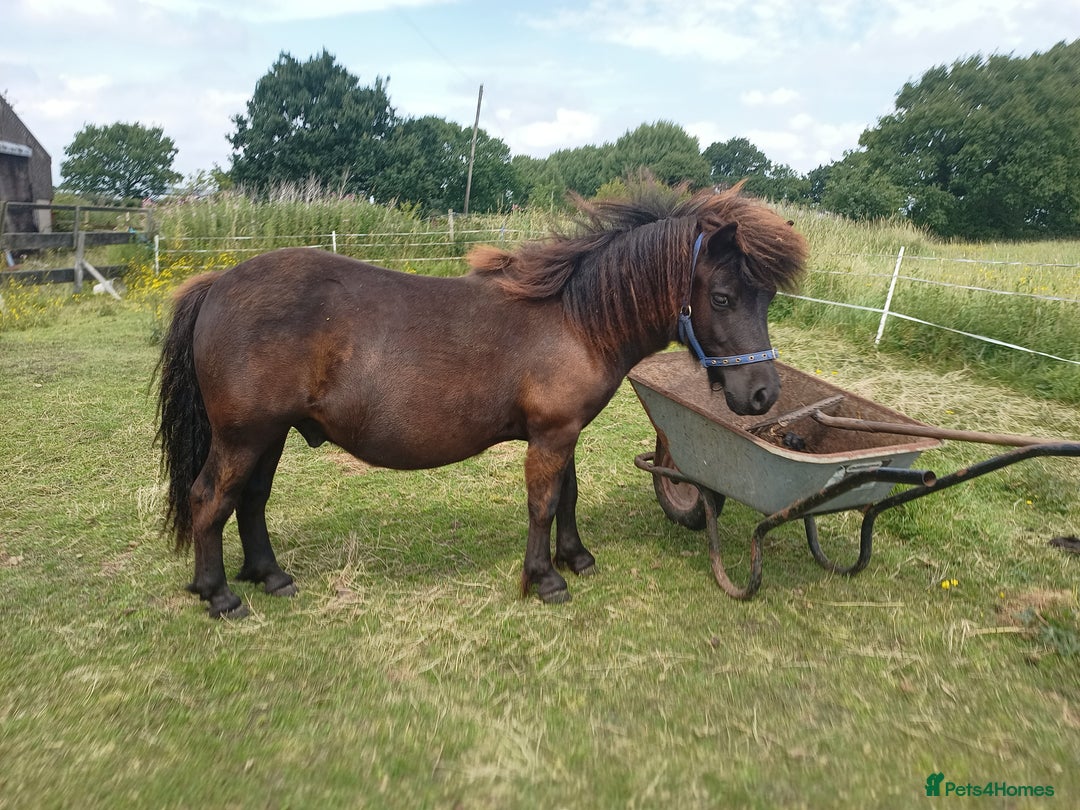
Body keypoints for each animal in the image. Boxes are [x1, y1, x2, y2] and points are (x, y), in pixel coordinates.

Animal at [156, 180, 808, 617]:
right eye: (721, 297)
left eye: (768, 297)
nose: (762, 394)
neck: (574, 319)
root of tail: (218, 282)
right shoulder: (551, 434)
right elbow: (543, 504)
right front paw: (544, 580)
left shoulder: (563, 432)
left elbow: (567, 497)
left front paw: (576, 558)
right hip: (244, 436)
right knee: (211, 499)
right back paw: (219, 595)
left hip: (269, 436)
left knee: (251, 502)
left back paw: (270, 577)